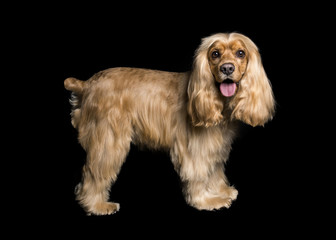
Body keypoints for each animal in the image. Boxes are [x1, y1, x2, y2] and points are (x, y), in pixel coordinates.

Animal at [64, 32, 274, 216]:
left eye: (241, 53)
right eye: (215, 54)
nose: (227, 68)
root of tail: (87, 84)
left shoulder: (215, 145)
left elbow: (215, 169)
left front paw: (222, 190)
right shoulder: (195, 147)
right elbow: (198, 174)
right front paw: (207, 200)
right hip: (108, 139)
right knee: (94, 173)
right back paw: (96, 205)